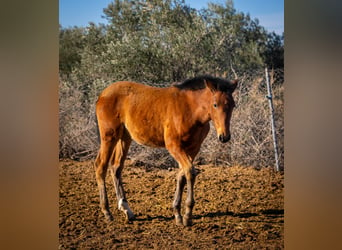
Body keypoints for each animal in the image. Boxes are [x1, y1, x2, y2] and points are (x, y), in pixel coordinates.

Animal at [93, 74, 238, 227]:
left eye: (233, 105)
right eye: (215, 104)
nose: (224, 137)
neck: (190, 110)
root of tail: (102, 94)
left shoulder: (193, 148)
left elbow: (182, 175)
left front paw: (178, 214)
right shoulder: (174, 146)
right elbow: (190, 172)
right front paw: (187, 216)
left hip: (125, 138)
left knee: (116, 167)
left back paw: (126, 209)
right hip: (109, 136)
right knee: (100, 166)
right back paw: (107, 212)